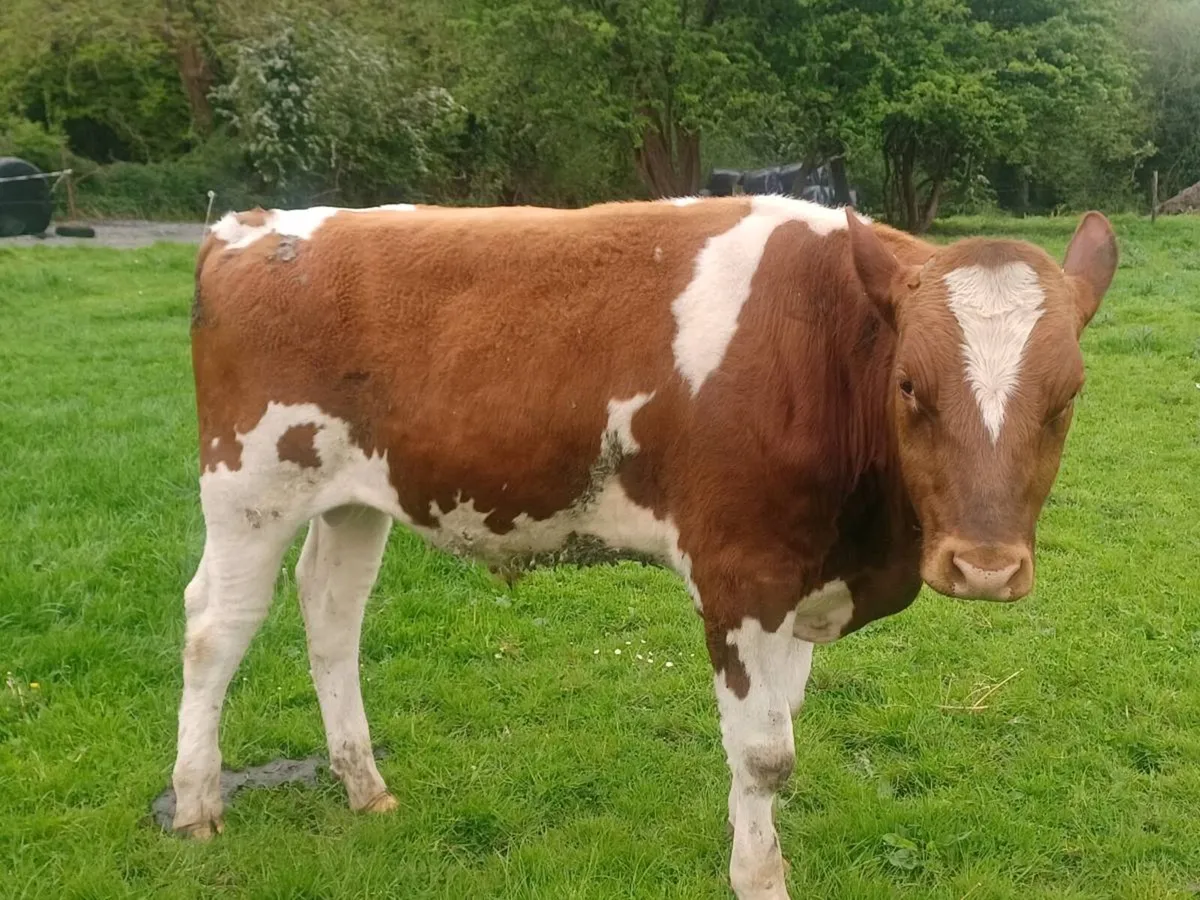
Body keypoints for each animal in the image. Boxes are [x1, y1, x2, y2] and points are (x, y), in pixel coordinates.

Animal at [174, 195, 1117, 899]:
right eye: (911, 385)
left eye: (1069, 395)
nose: (985, 567)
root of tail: (250, 226)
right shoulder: (740, 576)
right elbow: (766, 754)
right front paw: (759, 878)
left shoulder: (801, 583)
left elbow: (775, 730)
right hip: (248, 488)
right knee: (214, 629)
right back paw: (195, 806)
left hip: (353, 499)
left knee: (332, 617)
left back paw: (364, 787)